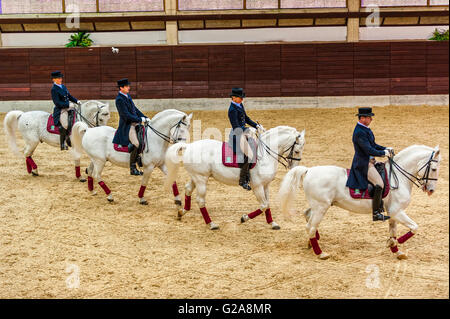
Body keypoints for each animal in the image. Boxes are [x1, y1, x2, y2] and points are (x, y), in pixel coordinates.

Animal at [163, 126, 306, 231]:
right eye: (297, 151)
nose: (293, 167)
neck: (265, 154)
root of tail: (189, 146)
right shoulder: (257, 186)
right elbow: (264, 205)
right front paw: (244, 218)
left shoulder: (266, 185)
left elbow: (267, 204)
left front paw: (272, 223)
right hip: (201, 179)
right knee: (200, 201)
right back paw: (211, 224)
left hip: (196, 177)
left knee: (188, 189)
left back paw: (181, 212)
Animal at [280, 145, 442, 260]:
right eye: (434, 169)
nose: (431, 190)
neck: (398, 177)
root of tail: (309, 170)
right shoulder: (397, 212)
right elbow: (414, 227)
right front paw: (396, 243)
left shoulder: (393, 213)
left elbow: (393, 231)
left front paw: (396, 249)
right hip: (321, 207)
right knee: (311, 226)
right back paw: (320, 253)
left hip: (318, 206)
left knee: (307, 216)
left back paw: (311, 242)